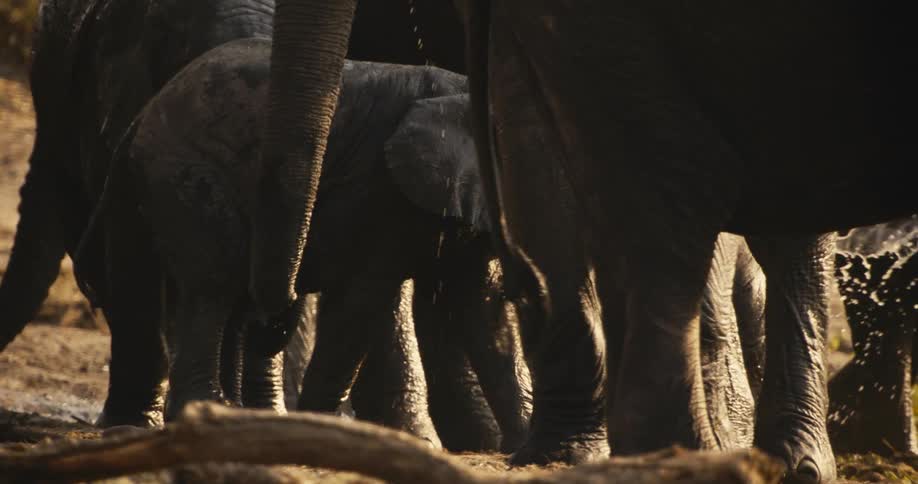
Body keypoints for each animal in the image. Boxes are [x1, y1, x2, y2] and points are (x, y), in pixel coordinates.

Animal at [101, 37, 531, 449]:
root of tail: (143, 113)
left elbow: (486, 311)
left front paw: (522, 445)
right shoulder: (376, 191)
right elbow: (359, 305)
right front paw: (321, 430)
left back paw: (235, 413)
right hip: (187, 176)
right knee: (214, 285)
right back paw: (209, 407)